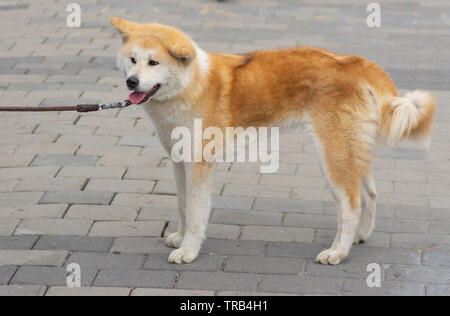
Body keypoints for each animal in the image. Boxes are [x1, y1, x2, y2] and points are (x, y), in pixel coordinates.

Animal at [110, 16, 436, 264]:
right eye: (132, 60)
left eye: (153, 62)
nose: (131, 82)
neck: (191, 85)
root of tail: (356, 63)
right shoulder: (179, 161)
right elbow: (182, 205)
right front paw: (180, 238)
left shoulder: (200, 164)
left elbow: (195, 211)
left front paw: (188, 250)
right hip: (353, 152)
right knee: (369, 195)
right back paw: (360, 236)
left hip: (332, 156)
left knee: (351, 206)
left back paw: (337, 252)